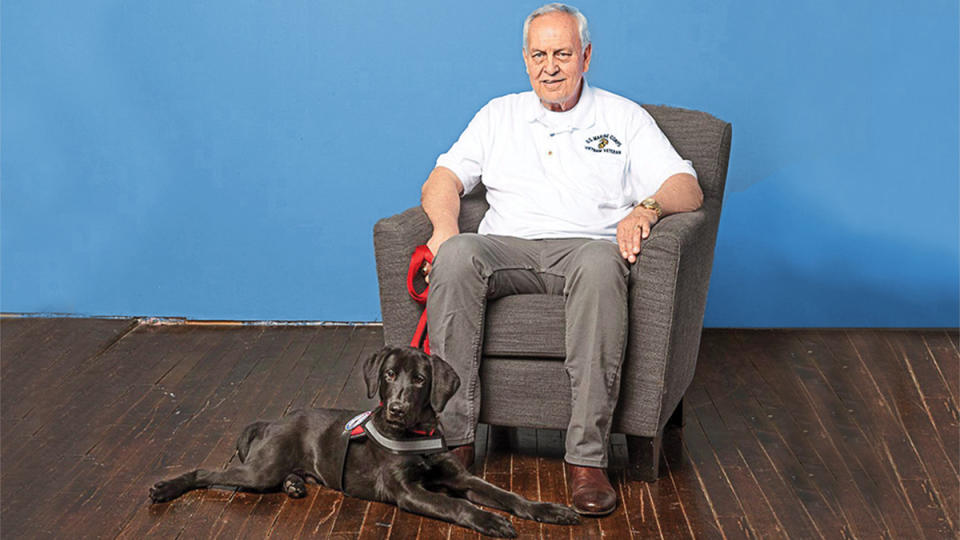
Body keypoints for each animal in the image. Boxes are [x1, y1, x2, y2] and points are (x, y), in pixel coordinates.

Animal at [150, 346, 576, 536]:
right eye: (388, 375)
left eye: (420, 380)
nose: (397, 410)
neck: (416, 435)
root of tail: (275, 420)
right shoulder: (408, 492)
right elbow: (455, 505)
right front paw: (490, 520)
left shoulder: (461, 477)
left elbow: (507, 494)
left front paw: (549, 510)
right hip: (259, 470)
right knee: (206, 472)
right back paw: (166, 487)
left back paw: (295, 484)